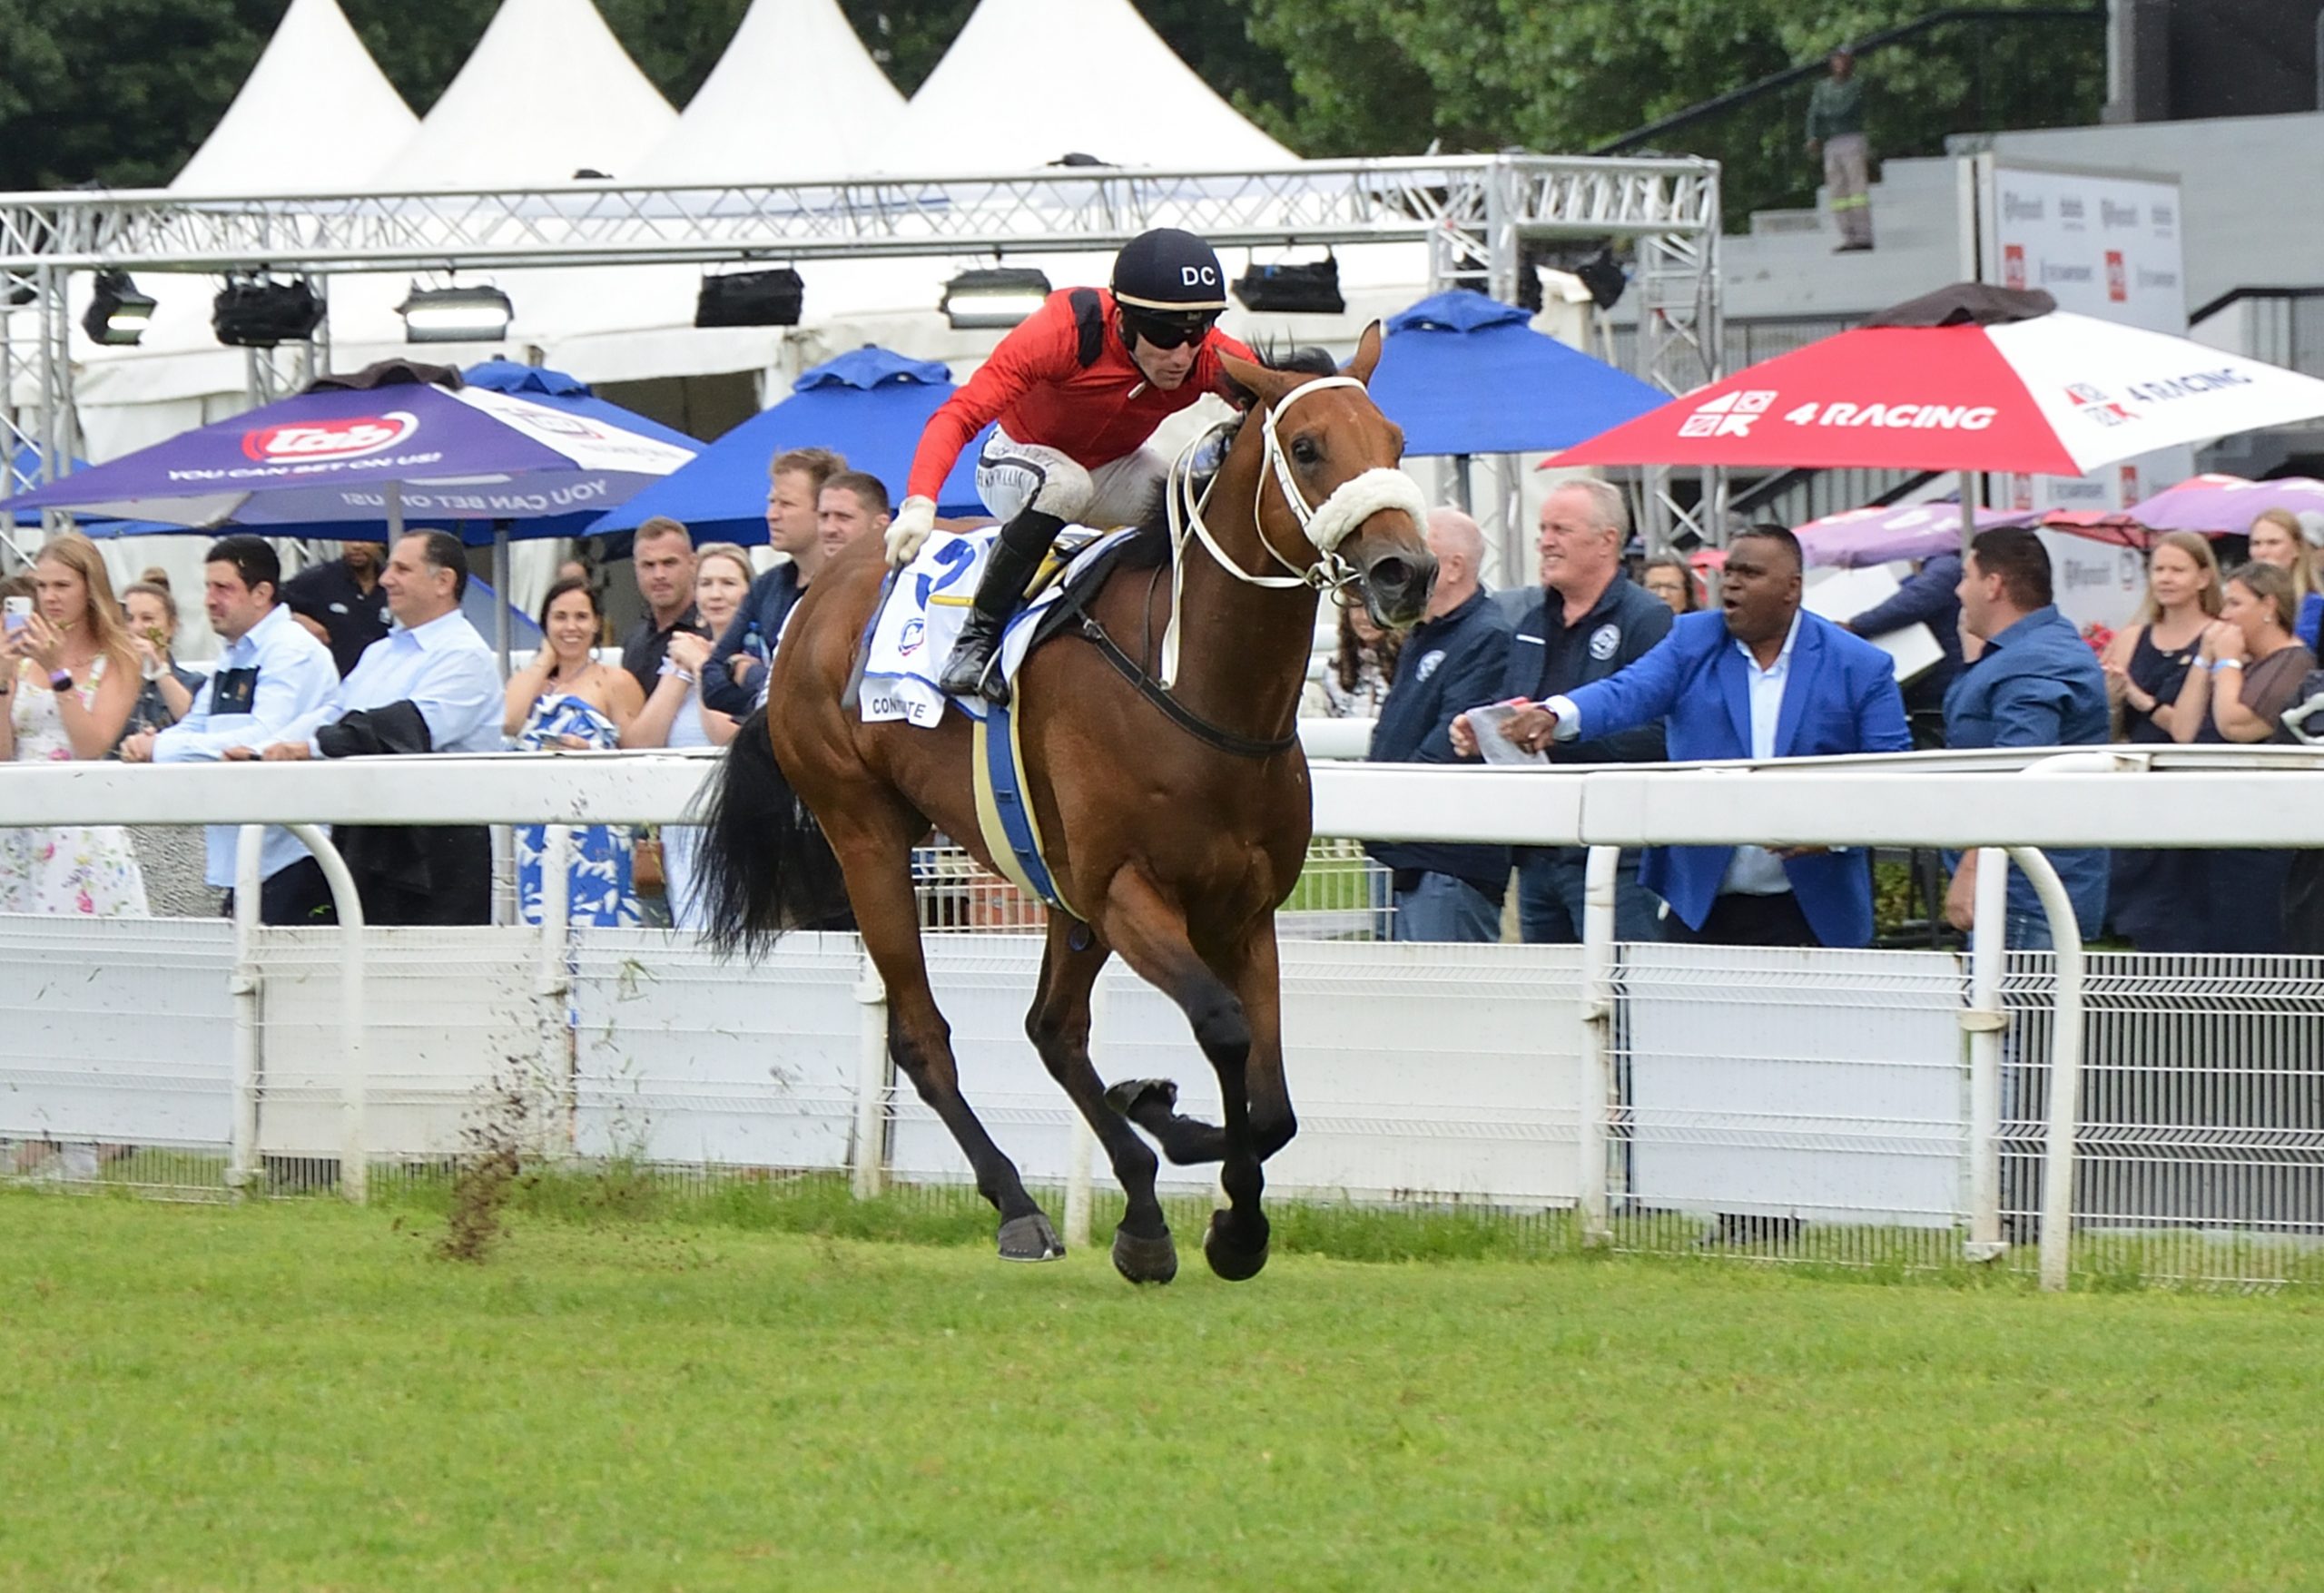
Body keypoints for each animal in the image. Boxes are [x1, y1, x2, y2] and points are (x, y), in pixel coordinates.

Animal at [687, 329, 1431, 1291]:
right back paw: (1020, 1206)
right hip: (868, 836)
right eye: (1306, 448)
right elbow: (1224, 1029)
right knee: (924, 1037)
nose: (1409, 571)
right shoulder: (1127, 893)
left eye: (1396, 442)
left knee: (1053, 1029)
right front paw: (1211, 1185)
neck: (1195, 684)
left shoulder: (1244, 909)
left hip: (1054, 887)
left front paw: (1216, 1199)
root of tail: (809, 604)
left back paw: (1142, 1214)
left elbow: (1272, 1106)